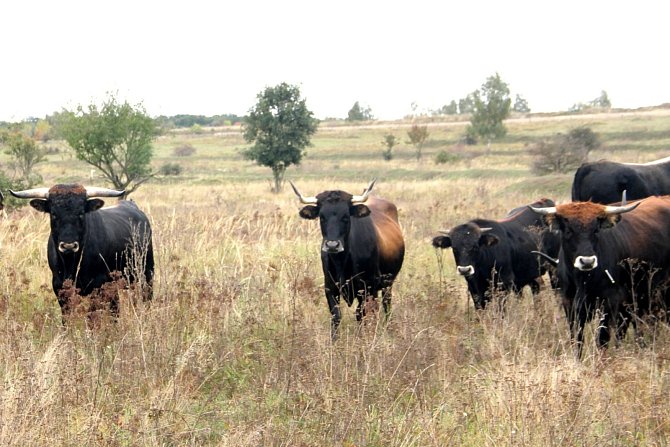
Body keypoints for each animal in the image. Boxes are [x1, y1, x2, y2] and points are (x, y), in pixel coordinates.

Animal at [11, 184, 154, 316]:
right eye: (54, 214)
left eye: (80, 213)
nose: (68, 245)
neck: (70, 263)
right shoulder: (59, 288)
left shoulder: (97, 286)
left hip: (145, 275)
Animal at [290, 180, 404, 338]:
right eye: (322, 217)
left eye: (345, 217)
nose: (332, 245)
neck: (342, 262)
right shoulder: (330, 288)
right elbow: (336, 316)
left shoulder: (367, 288)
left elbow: (361, 314)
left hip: (388, 283)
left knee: (385, 305)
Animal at [532, 198, 670, 358]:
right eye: (568, 231)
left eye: (596, 230)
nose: (587, 261)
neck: (583, 280)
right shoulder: (570, 304)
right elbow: (577, 339)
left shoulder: (609, 303)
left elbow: (602, 340)